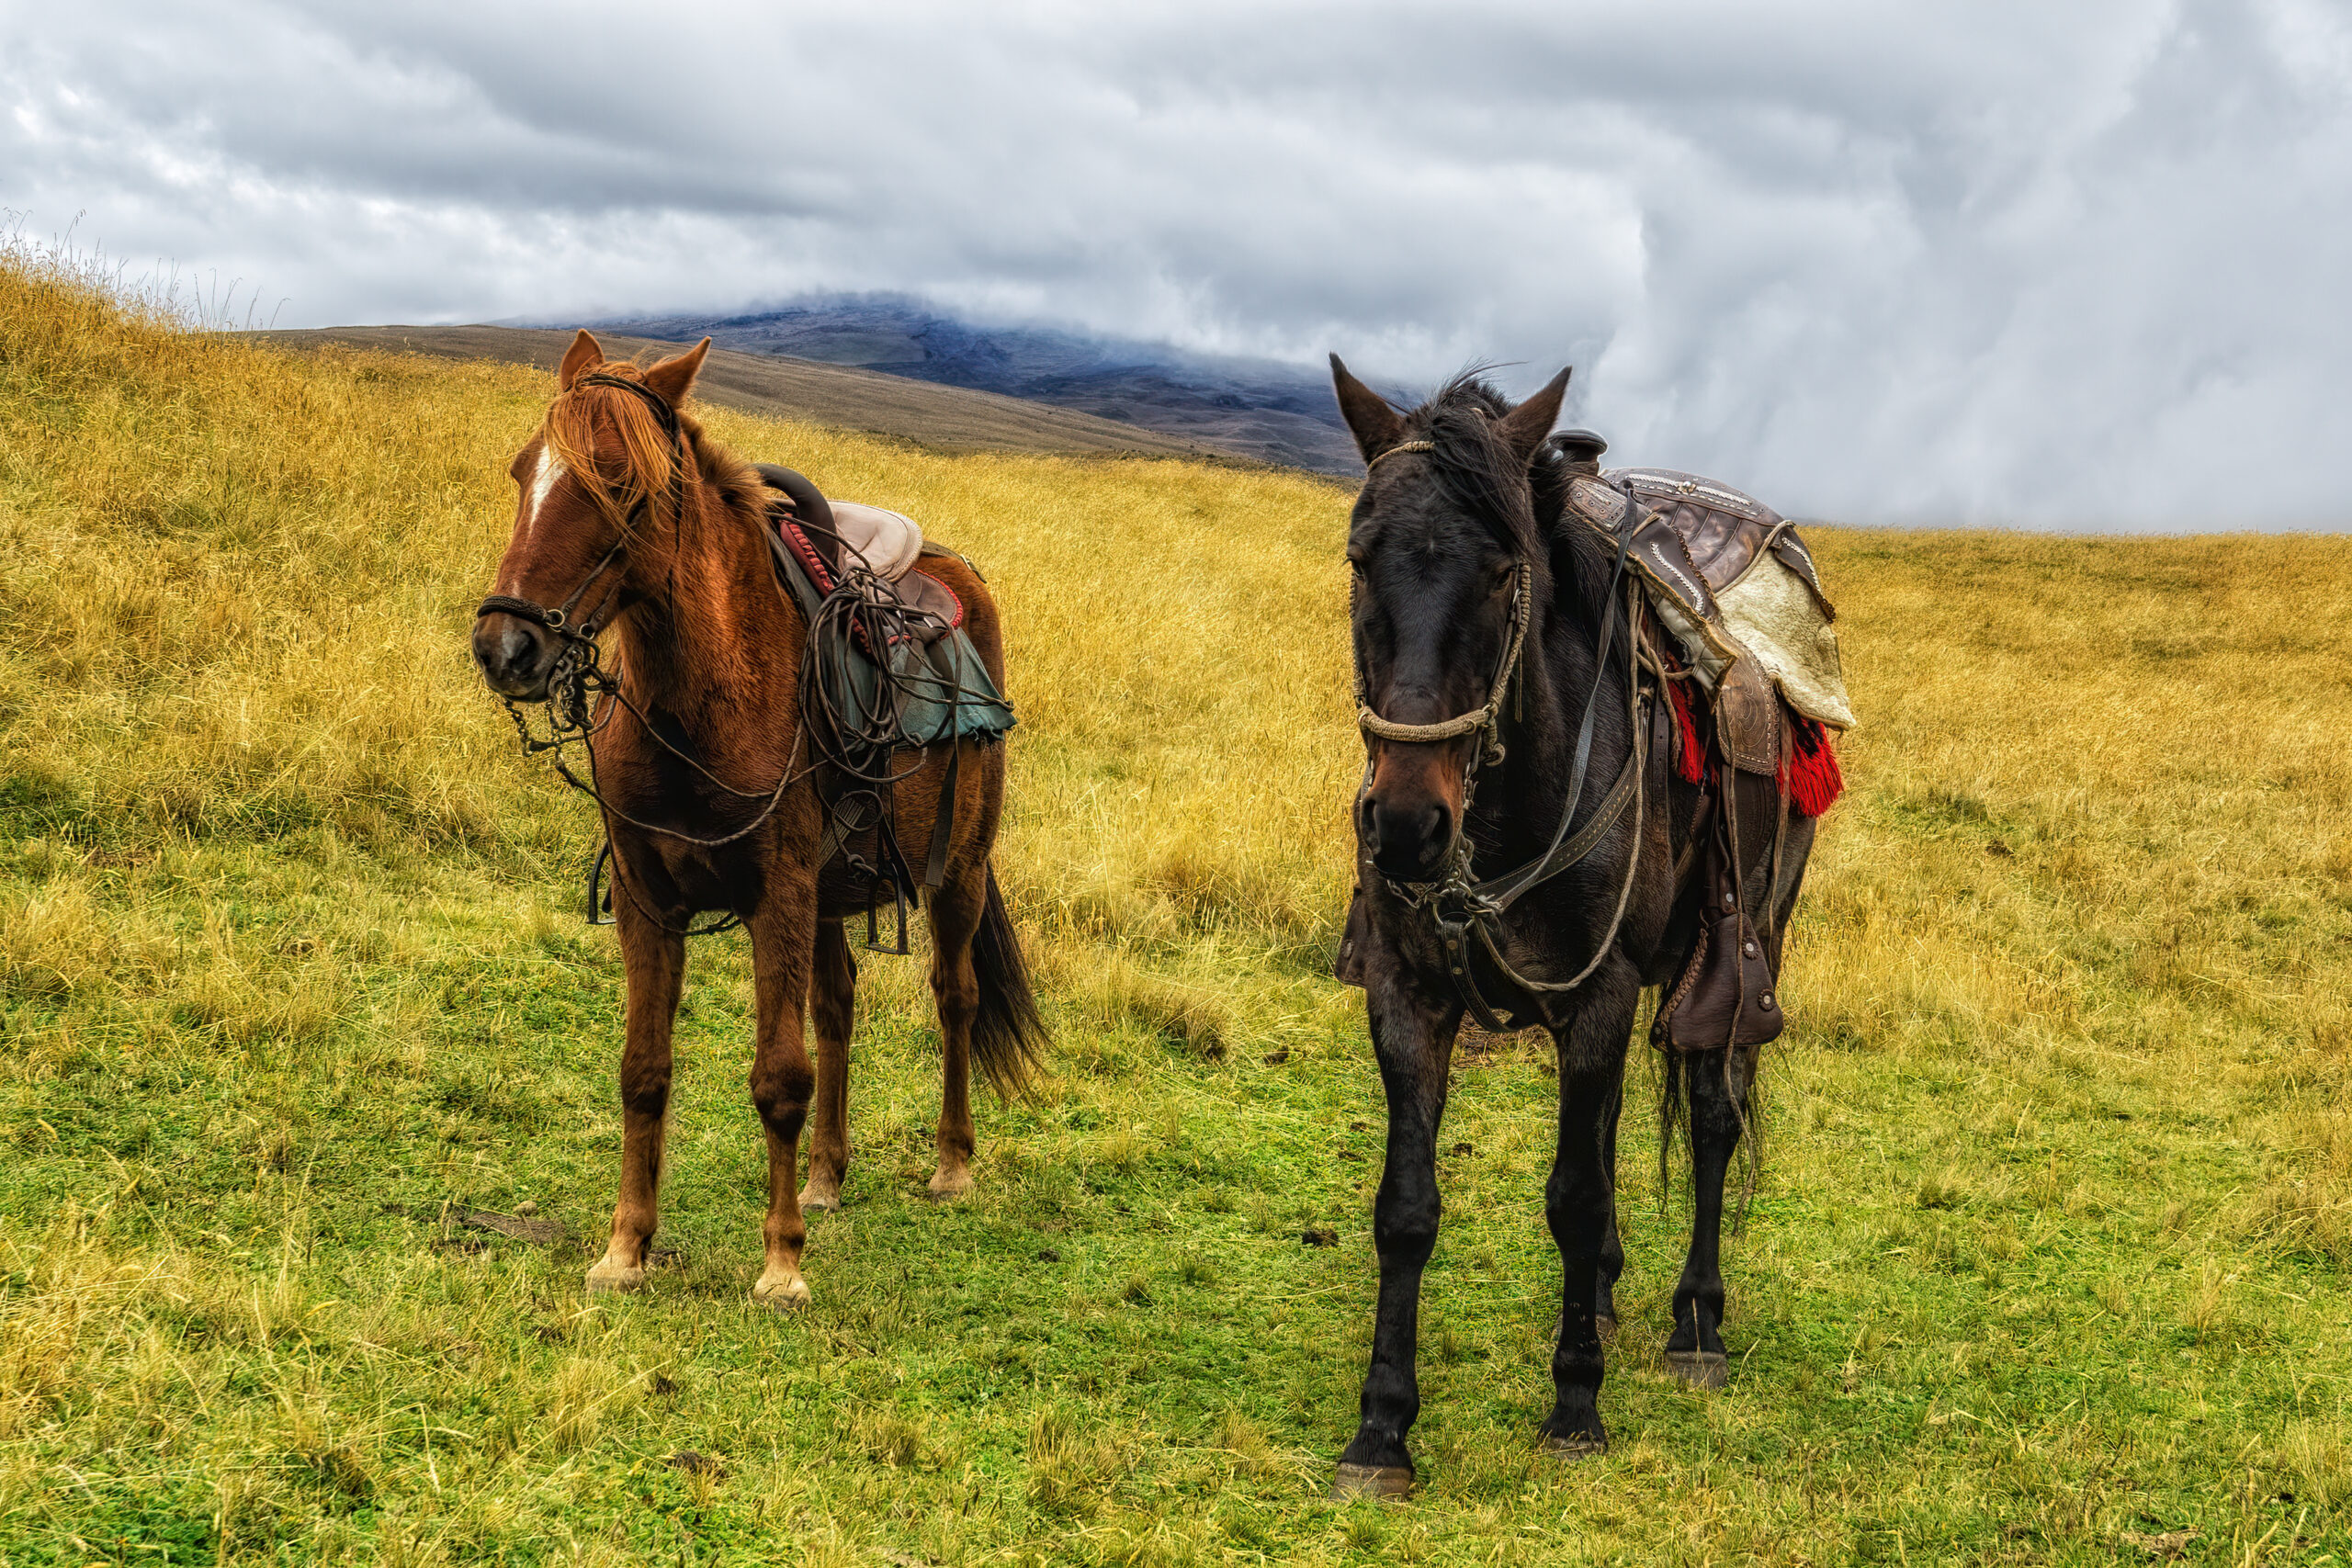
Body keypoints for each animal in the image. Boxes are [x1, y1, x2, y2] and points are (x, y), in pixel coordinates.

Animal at [468, 333, 1039, 1316]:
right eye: (522, 470)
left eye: (620, 481)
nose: (508, 648)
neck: (703, 701)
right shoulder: (650, 901)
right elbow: (644, 1071)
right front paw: (625, 1248)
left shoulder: (778, 894)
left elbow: (779, 1077)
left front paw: (781, 1263)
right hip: (834, 892)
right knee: (838, 1004)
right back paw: (826, 1176)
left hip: (956, 870)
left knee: (954, 996)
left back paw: (951, 1165)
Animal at [1326, 359, 1815, 1495]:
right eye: (1360, 558)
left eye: (1504, 570)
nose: (1406, 824)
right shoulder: (1408, 994)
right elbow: (1405, 1208)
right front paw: (1381, 1429)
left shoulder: (1598, 995)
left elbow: (1578, 1196)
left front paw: (1575, 1405)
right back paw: (1600, 1295)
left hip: (1749, 946)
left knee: (1715, 1116)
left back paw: (1694, 1327)